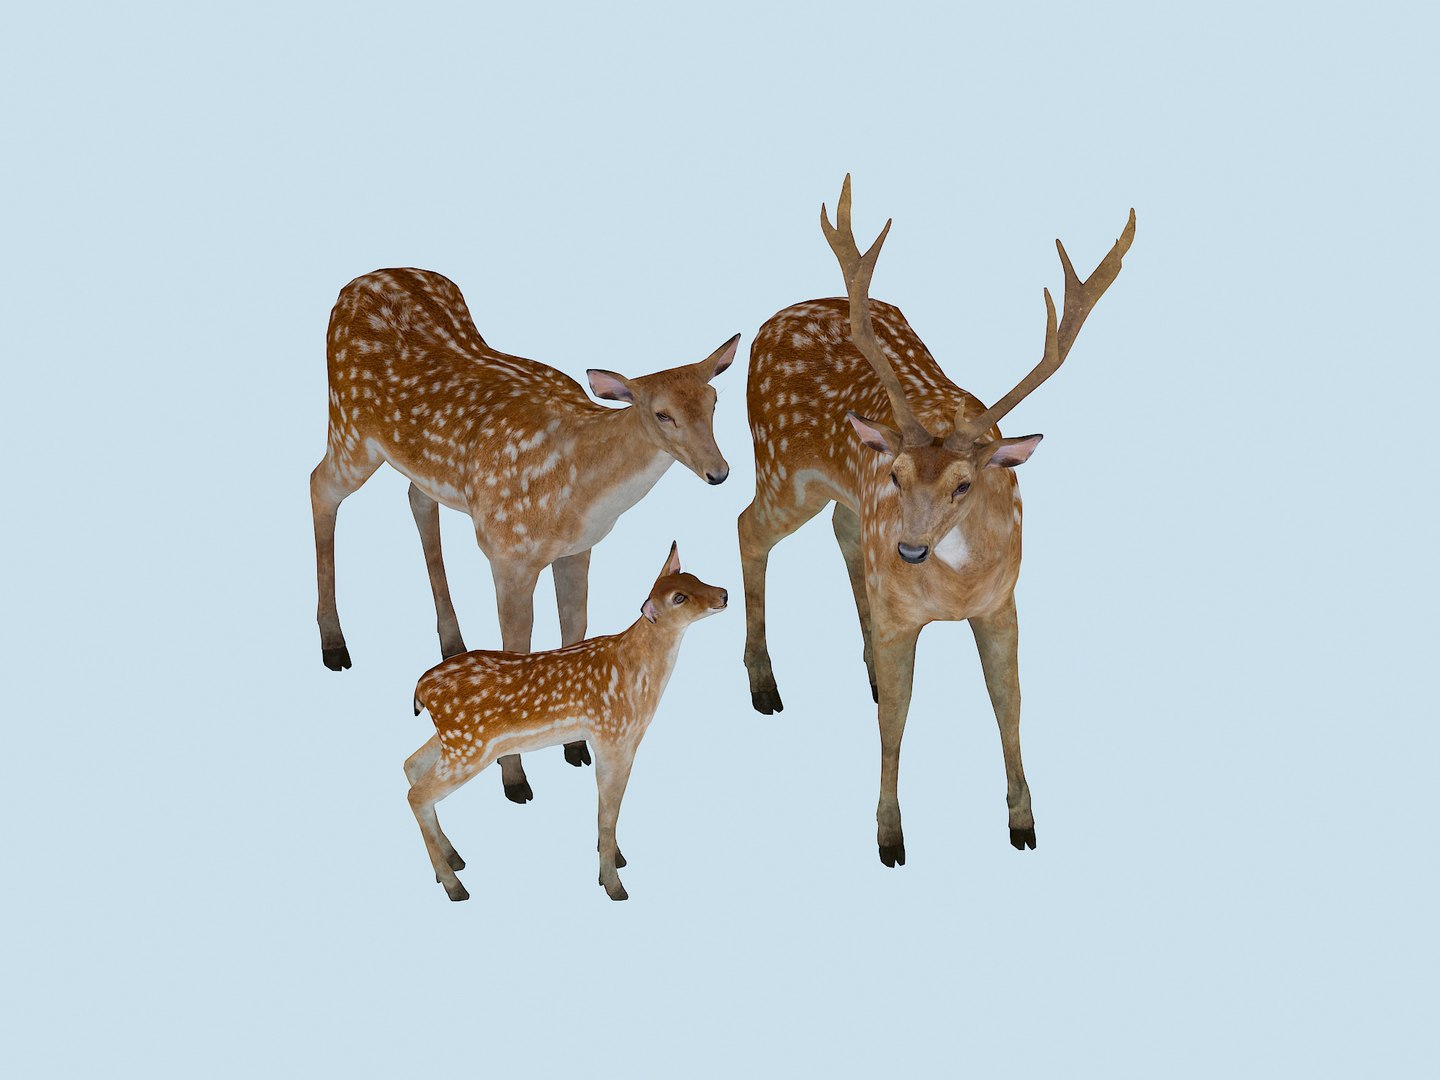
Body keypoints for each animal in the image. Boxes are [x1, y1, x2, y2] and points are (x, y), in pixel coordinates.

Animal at [311, 268, 736, 805]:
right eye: (662, 413)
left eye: (714, 401)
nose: (719, 472)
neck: (577, 488)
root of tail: (362, 279)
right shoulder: (507, 551)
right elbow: (516, 651)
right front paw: (515, 780)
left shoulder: (579, 548)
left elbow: (575, 625)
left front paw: (575, 749)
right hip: (348, 428)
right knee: (319, 486)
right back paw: (333, 644)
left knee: (416, 498)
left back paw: (451, 641)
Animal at [406, 542, 727, 902]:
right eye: (679, 597)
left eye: (694, 577)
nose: (724, 594)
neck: (637, 673)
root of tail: (421, 689)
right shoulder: (613, 737)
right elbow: (608, 811)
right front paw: (613, 884)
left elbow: (608, 808)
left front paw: (614, 860)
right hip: (468, 746)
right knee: (418, 795)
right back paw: (454, 885)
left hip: (453, 739)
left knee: (411, 764)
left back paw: (452, 860)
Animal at [738, 177, 1134, 867]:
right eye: (895, 474)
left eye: (963, 485)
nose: (910, 551)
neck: (954, 591)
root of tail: (764, 326)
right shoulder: (904, 612)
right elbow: (895, 721)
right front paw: (889, 836)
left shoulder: (1003, 601)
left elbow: (1009, 705)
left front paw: (1024, 824)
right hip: (782, 470)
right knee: (745, 526)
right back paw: (764, 685)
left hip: (832, 496)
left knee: (843, 532)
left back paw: (861, 663)